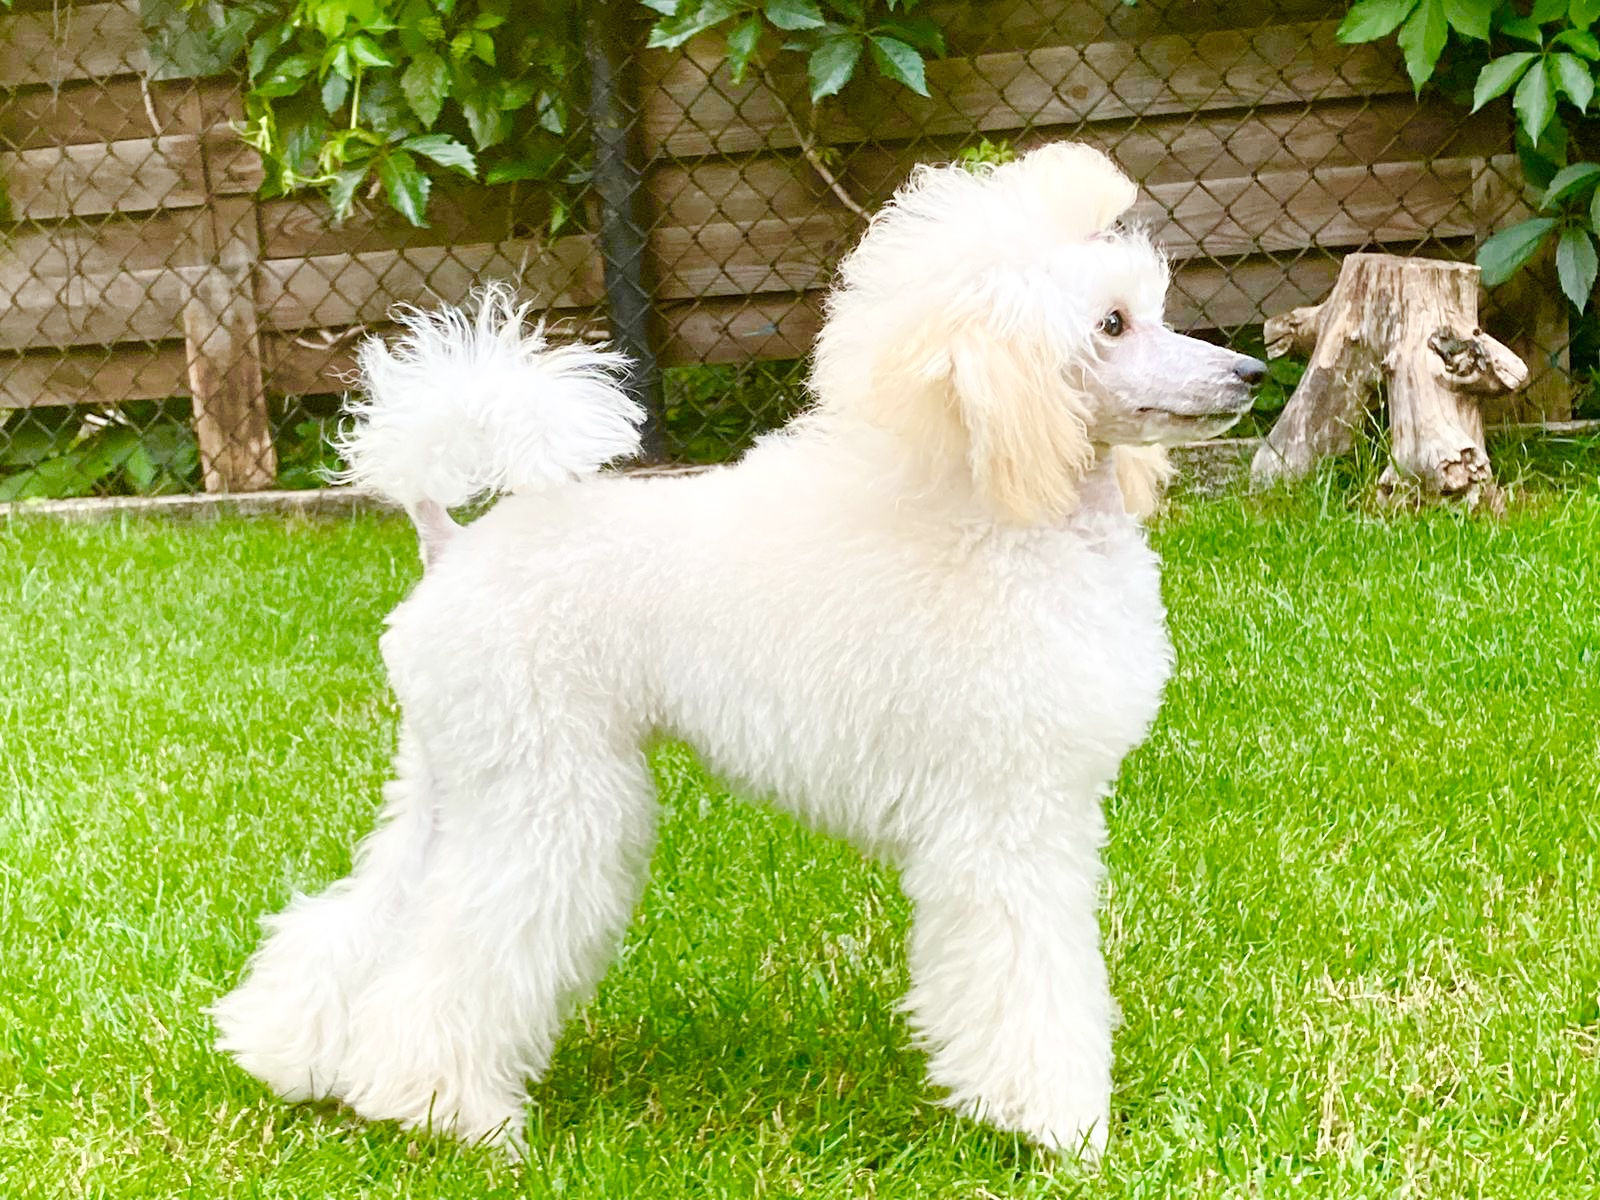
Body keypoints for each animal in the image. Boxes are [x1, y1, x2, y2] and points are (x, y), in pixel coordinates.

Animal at [211, 143, 1264, 1159]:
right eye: (1112, 325)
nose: (1249, 376)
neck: (1003, 514)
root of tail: (450, 541)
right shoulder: (1008, 818)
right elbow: (1029, 978)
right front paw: (1058, 1129)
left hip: (456, 774)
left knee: (366, 915)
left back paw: (296, 1058)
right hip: (548, 788)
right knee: (460, 953)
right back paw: (447, 1112)